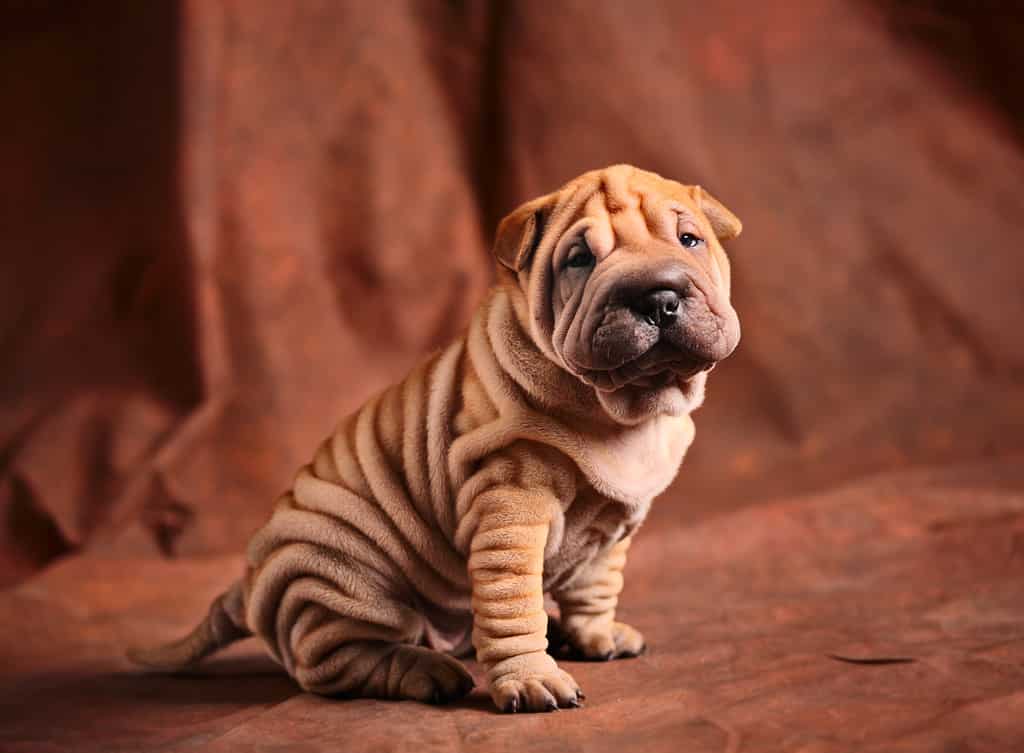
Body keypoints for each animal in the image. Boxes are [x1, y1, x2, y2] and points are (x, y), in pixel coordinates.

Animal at [130, 163, 745, 713]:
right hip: (342, 580)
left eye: (689, 239)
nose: (658, 297)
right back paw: (427, 670)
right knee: (337, 661)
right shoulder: (510, 511)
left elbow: (594, 585)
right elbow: (512, 603)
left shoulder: (612, 525)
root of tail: (249, 578)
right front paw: (532, 678)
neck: (627, 410)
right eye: (580, 259)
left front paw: (597, 634)